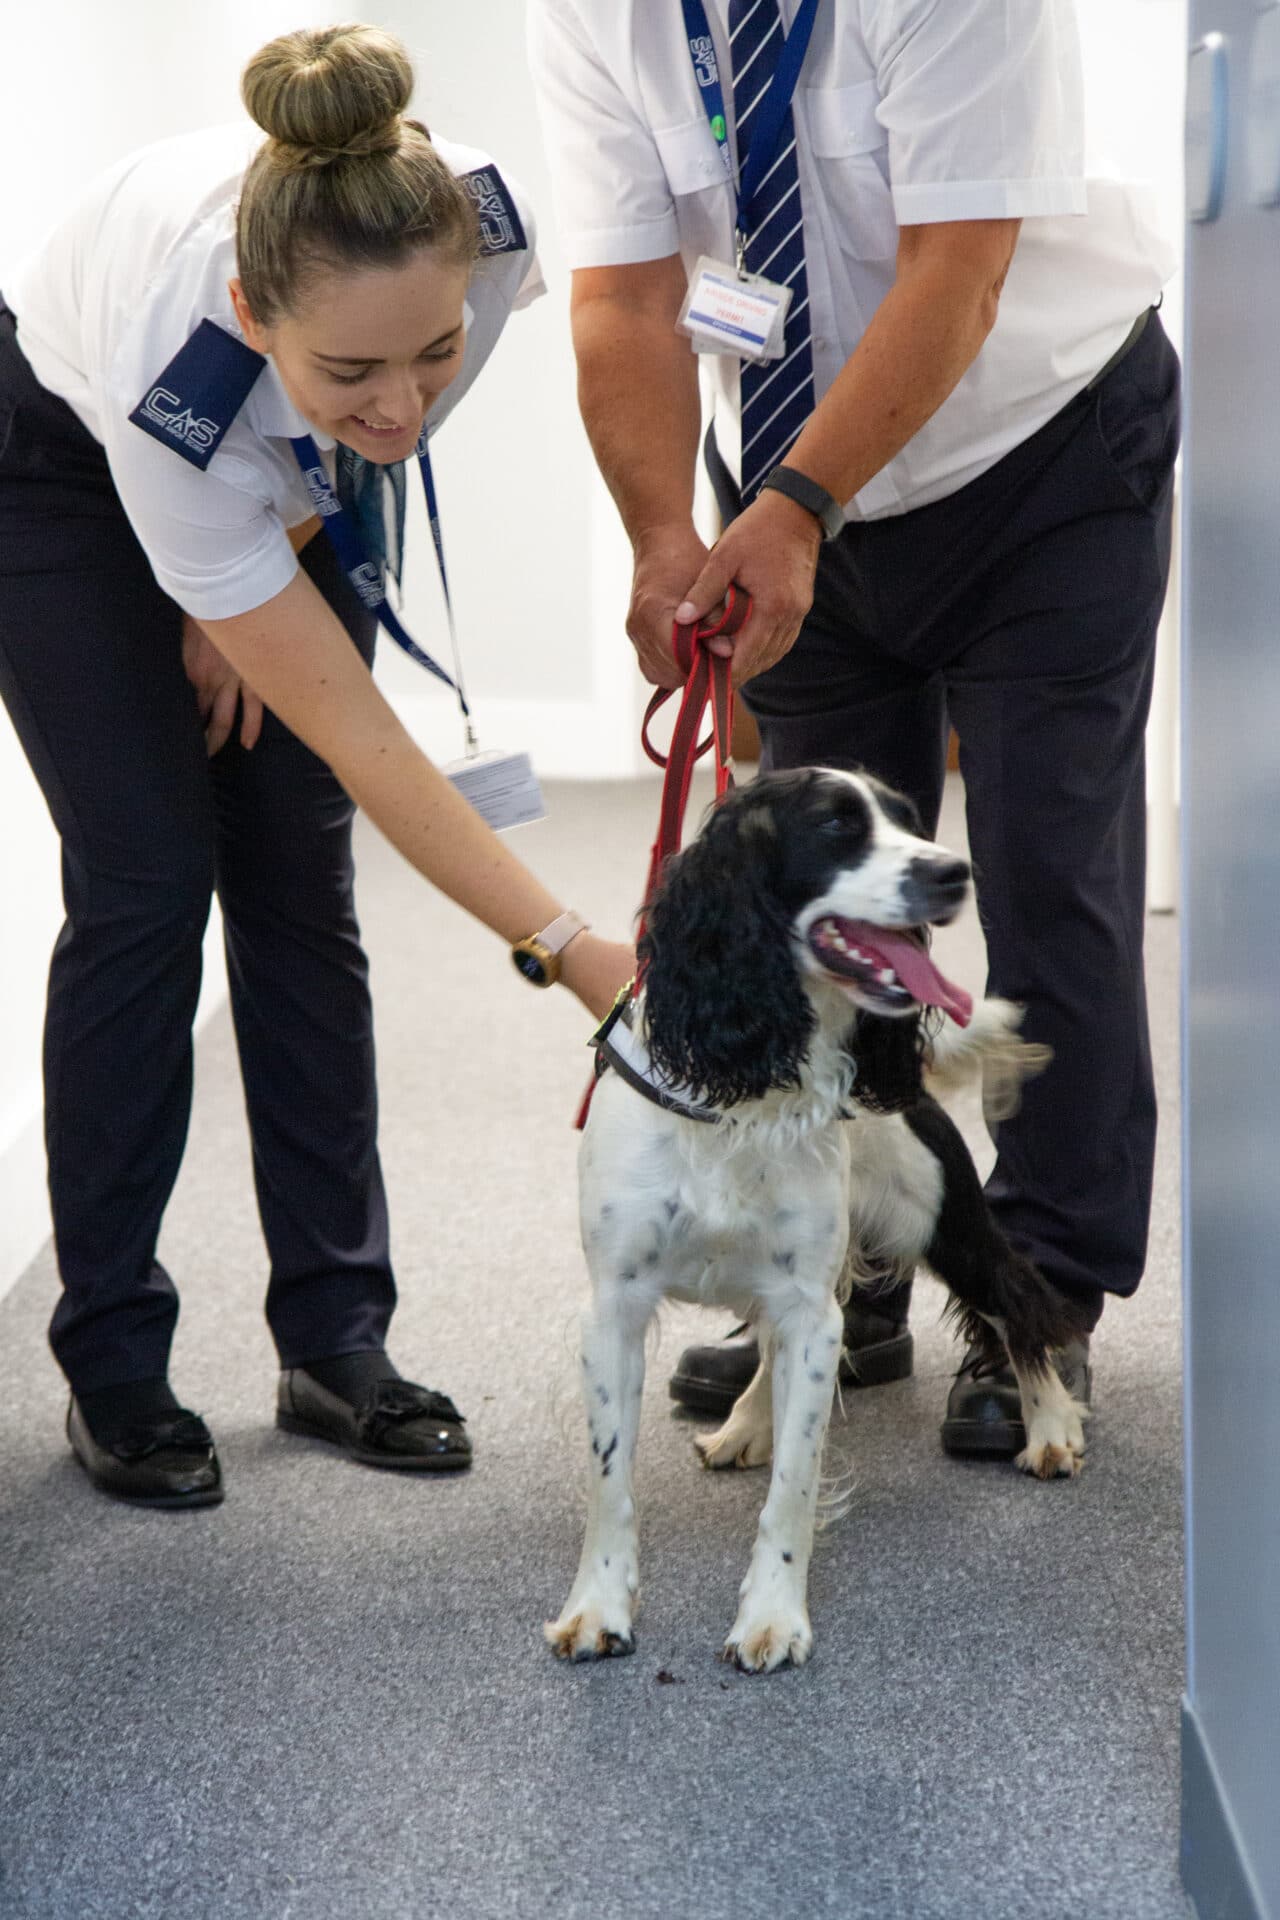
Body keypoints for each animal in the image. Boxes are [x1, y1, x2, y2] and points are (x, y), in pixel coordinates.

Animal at [548, 764, 1090, 1666]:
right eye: (837, 827)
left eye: (908, 820)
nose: (954, 872)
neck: (743, 1087)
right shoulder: (617, 1309)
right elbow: (609, 1479)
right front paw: (597, 1608)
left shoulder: (809, 1311)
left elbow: (793, 1487)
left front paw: (771, 1617)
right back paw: (741, 1427)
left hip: (944, 1223)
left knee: (1018, 1302)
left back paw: (1049, 1425)